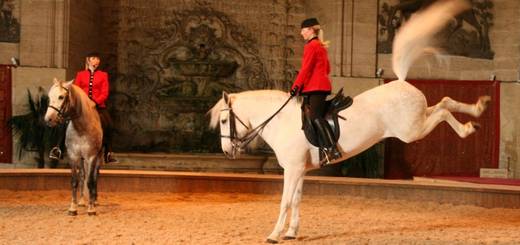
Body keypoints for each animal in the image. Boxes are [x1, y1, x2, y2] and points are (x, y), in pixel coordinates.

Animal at [44, 79, 103, 215]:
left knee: (94, 177)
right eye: (49, 97)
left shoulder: (91, 157)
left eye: (61, 97)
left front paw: (91, 209)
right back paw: (82, 201)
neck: (81, 128)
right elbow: (75, 181)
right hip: (81, 160)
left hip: (97, 158)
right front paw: (73, 207)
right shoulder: (73, 156)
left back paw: (94, 200)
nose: (48, 119)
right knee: (82, 176)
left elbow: (90, 181)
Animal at [208, 0, 488, 242]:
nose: (226, 151)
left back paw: (467, 128)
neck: (281, 120)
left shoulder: (292, 168)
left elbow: (285, 201)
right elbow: (296, 200)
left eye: (223, 121)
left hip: (412, 130)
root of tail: (400, 81)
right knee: (445, 102)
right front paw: (290, 232)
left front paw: (274, 235)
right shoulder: (299, 169)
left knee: (442, 111)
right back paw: (477, 111)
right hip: (417, 120)